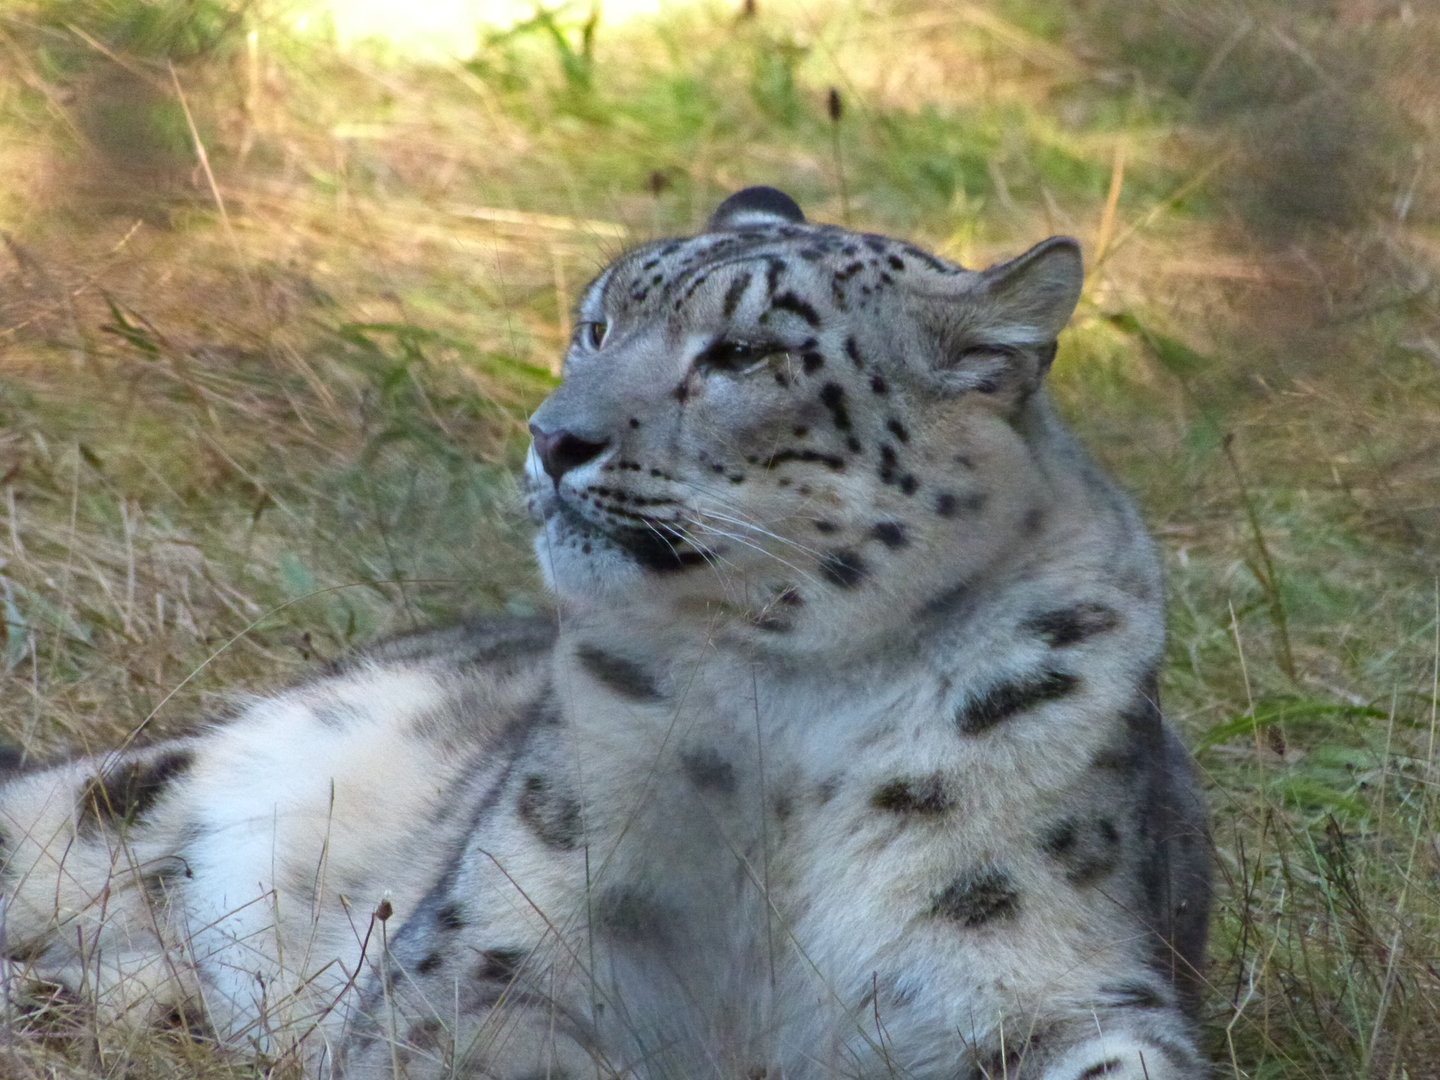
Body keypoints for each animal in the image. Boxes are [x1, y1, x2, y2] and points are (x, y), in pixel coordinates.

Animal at [0, 187, 1211, 1080]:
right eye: (596, 326)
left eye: (743, 354)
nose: (552, 436)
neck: (796, 705)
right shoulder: (488, 952)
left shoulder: (1056, 981)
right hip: (133, 800)